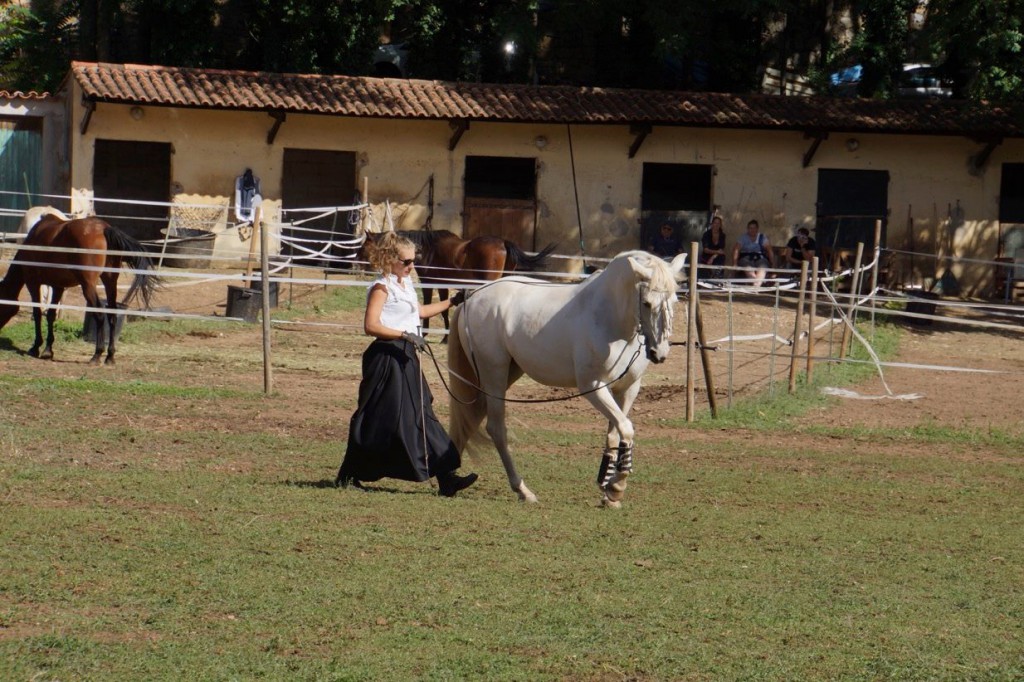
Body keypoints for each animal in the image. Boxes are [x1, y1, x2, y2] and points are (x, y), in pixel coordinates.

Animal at [0, 212, 159, 364]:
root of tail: (104, 228)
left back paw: (97, 355)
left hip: (88, 286)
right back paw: (110, 356)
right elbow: (51, 315)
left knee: (99, 314)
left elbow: (38, 313)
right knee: (112, 314)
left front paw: (35, 347)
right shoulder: (58, 286)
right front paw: (48, 350)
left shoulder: (33, 283)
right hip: (110, 282)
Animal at [448, 249, 688, 503]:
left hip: (505, 375)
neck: (609, 318)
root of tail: (472, 297)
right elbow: (626, 428)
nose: (659, 353)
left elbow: (616, 433)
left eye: (674, 301)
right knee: (496, 428)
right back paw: (522, 490)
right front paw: (617, 486)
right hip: (494, 373)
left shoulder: (628, 389)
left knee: (470, 420)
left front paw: (608, 485)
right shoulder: (594, 386)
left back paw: (450, 479)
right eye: (647, 302)